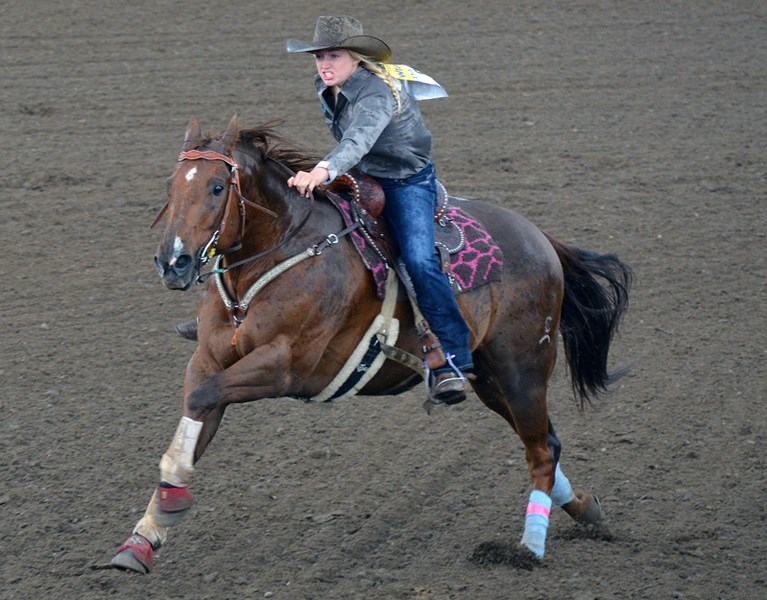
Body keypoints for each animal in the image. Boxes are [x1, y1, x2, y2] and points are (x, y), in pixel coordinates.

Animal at [111, 115, 632, 576]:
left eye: (218, 187)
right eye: (170, 186)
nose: (173, 262)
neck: (279, 252)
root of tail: (539, 237)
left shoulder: (284, 364)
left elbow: (204, 398)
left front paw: (168, 510)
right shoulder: (209, 360)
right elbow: (194, 417)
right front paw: (143, 538)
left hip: (523, 370)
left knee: (540, 451)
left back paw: (528, 549)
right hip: (489, 379)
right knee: (545, 441)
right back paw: (586, 510)